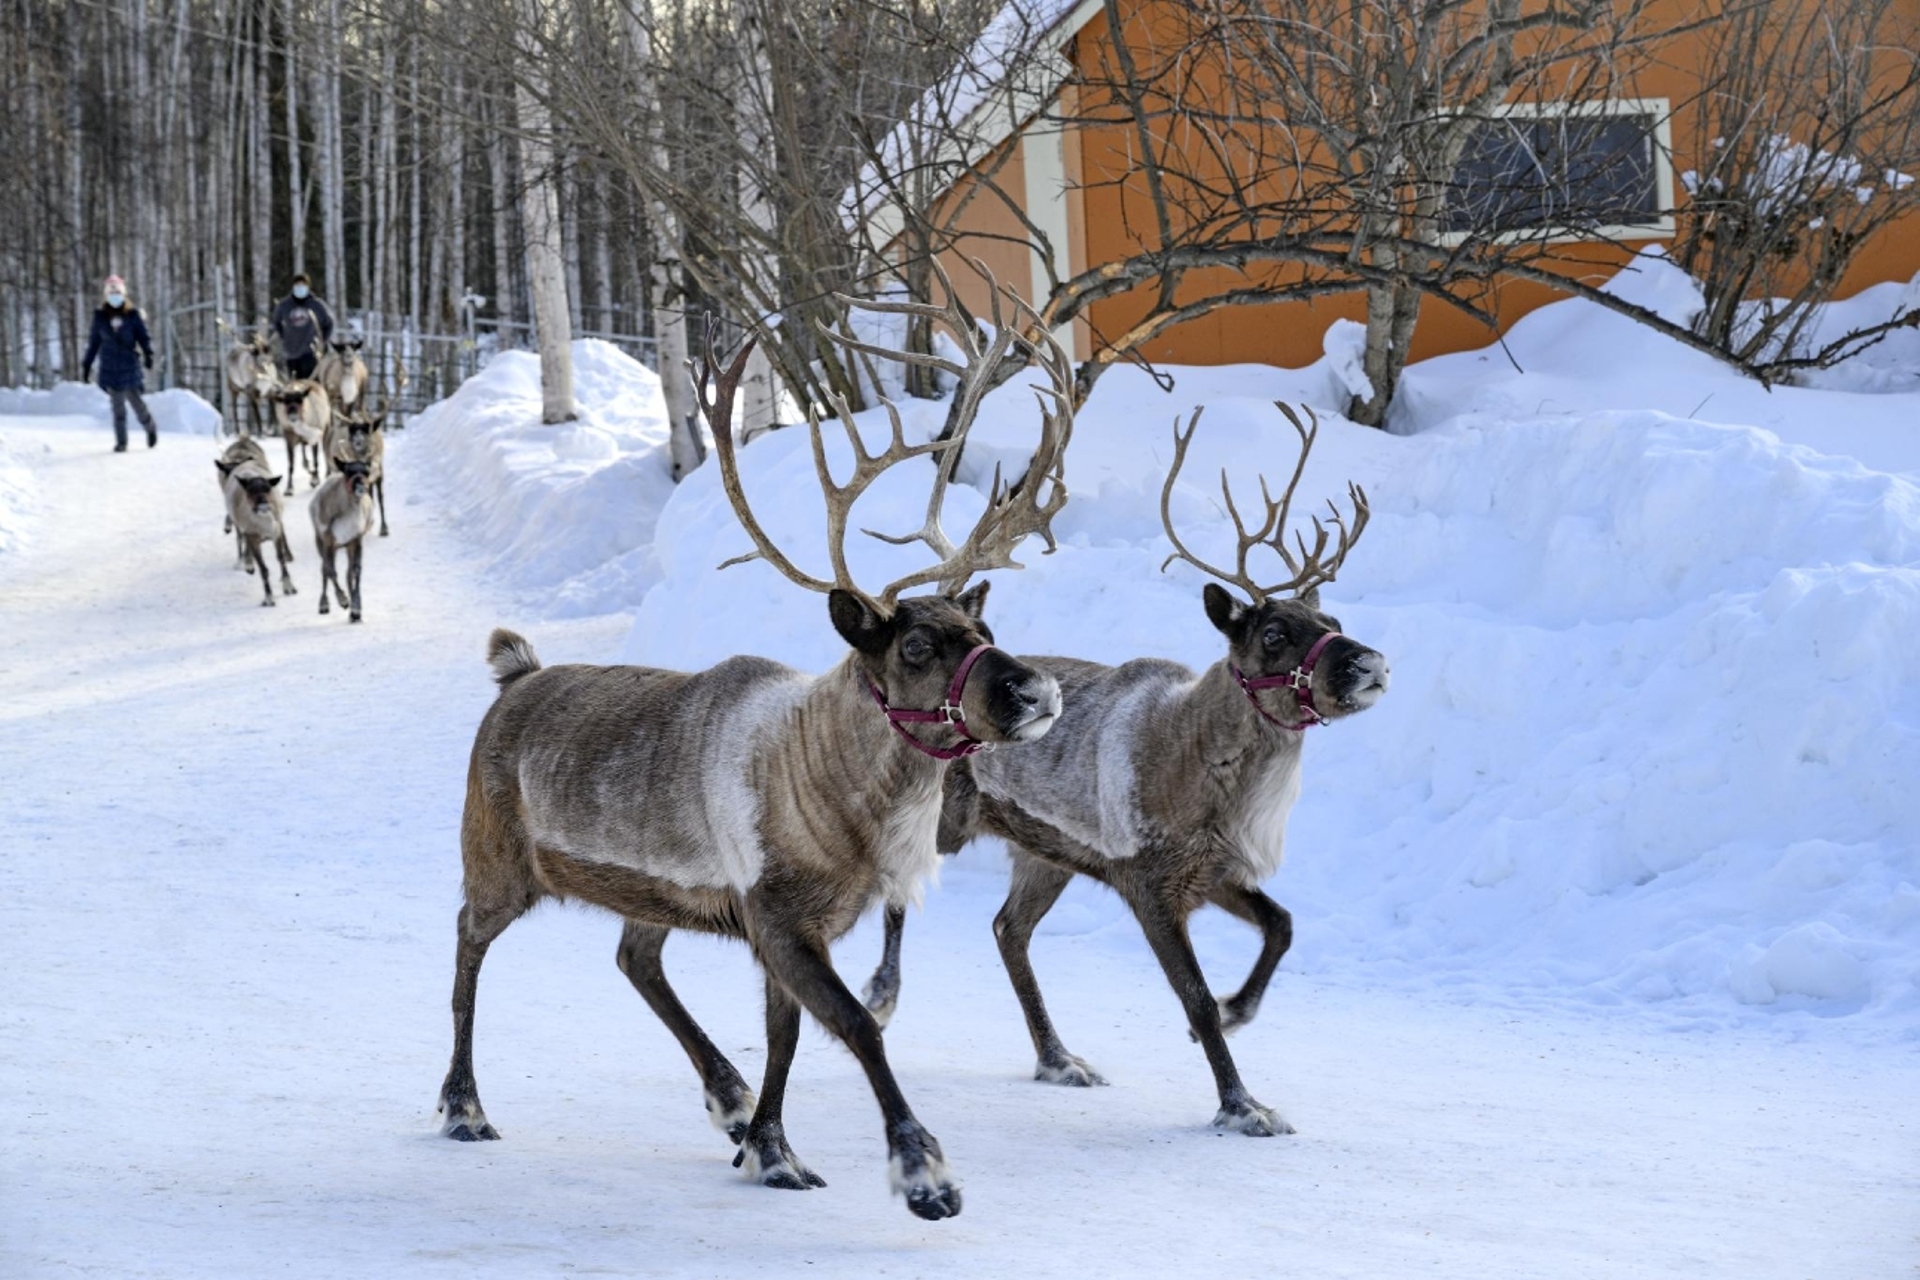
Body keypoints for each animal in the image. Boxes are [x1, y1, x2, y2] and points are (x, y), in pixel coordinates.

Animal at [437, 276, 1074, 1221]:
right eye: (919, 646)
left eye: (985, 630)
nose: (1036, 691)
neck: (844, 809)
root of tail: (514, 677)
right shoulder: (776, 916)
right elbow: (853, 1025)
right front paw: (923, 1173)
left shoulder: (789, 926)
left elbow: (785, 1037)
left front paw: (771, 1147)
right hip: (497, 858)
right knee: (468, 943)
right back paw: (463, 1106)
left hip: (646, 891)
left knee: (635, 958)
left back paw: (728, 1100)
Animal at [860, 403, 1389, 1138]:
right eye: (1274, 634)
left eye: (1331, 616)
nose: (1370, 662)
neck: (1203, 769)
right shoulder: (1149, 884)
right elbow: (1193, 995)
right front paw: (1242, 1104)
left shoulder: (1212, 871)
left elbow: (1283, 924)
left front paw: (1238, 1012)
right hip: (950, 821)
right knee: (904, 882)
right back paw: (882, 993)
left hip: (1043, 853)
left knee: (1007, 930)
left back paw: (1058, 1059)